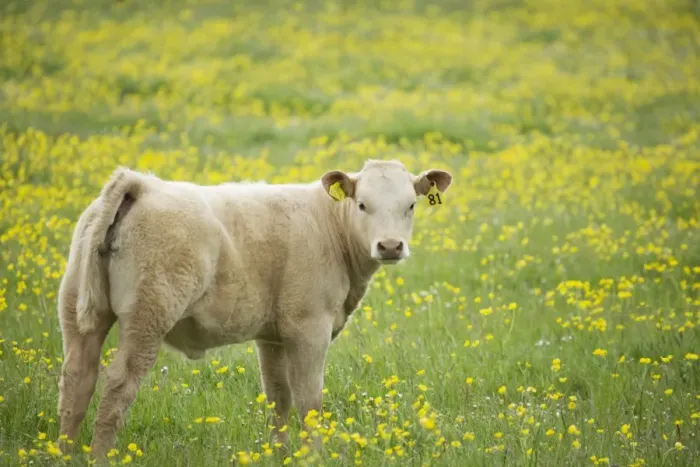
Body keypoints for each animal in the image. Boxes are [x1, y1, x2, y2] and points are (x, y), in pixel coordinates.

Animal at [56, 158, 452, 457]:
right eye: (362, 205)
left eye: (410, 205)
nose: (390, 246)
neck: (330, 227)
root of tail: (142, 185)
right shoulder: (309, 327)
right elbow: (309, 399)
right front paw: (314, 456)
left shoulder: (273, 335)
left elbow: (278, 397)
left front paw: (280, 454)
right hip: (147, 316)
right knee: (118, 385)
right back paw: (99, 456)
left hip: (79, 313)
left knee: (77, 380)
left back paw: (65, 453)